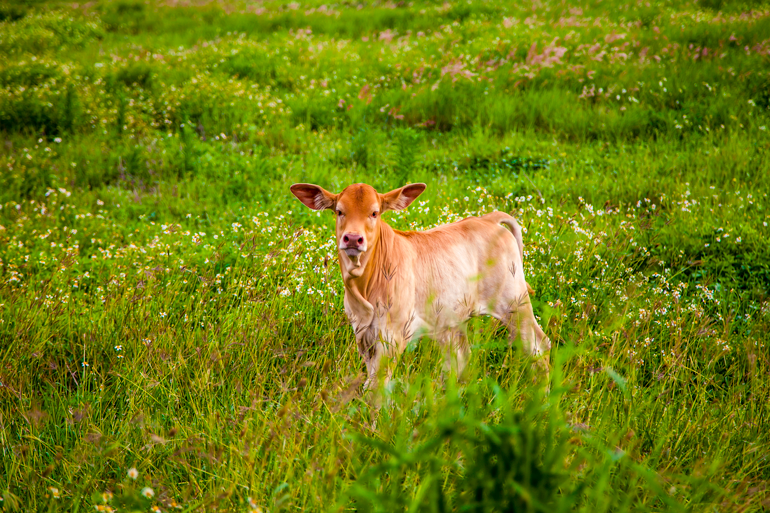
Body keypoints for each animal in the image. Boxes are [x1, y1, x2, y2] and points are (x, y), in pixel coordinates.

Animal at [288, 182, 544, 386]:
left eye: (374, 213)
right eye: (339, 211)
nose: (352, 238)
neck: (362, 288)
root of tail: (487, 219)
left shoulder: (392, 336)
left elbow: (376, 387)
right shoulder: (363, 336)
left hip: (515, 304)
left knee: (539, 346)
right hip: (452, 319)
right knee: (460, 358)